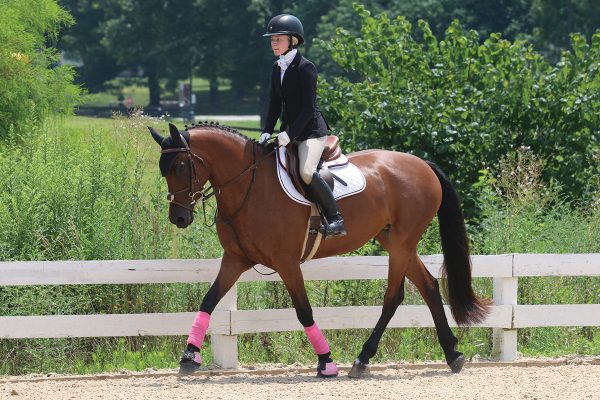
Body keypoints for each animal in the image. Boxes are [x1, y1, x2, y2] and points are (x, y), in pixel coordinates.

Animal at [148, 122, 490, 378]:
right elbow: (209, 301)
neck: (248, 185)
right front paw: (189, 356)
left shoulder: (286, 262)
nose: (179, 218)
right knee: (429, 286)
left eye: (181, 165)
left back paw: (362, 359)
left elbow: (304, 311)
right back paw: (452, 354)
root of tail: (423, 164)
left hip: (403, 241)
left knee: (394, 296)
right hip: (395, 240)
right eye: (163, 169)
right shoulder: (235, 259)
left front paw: (326, 362)